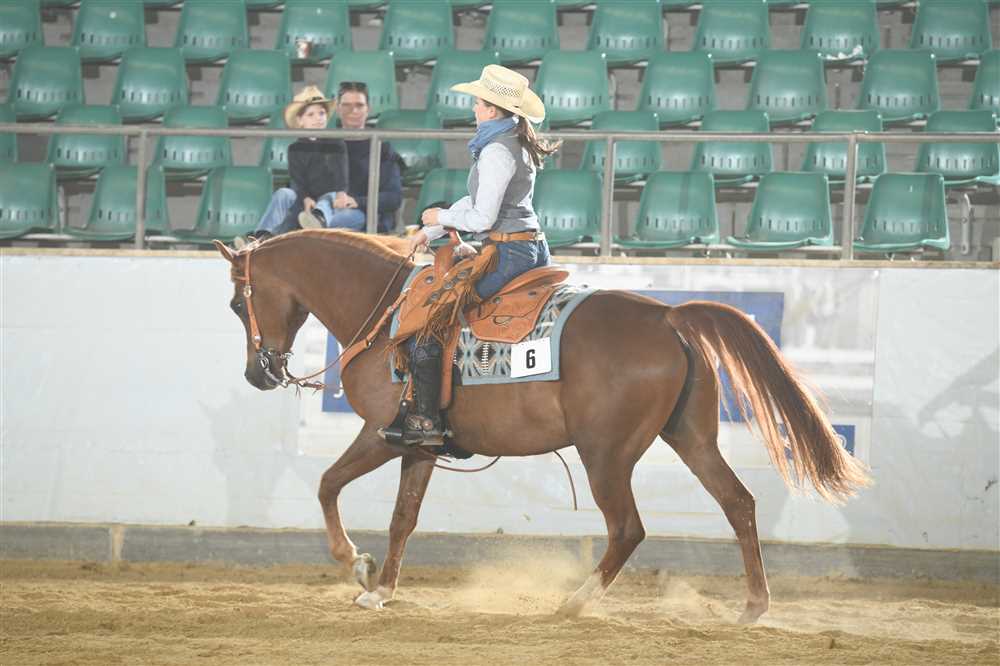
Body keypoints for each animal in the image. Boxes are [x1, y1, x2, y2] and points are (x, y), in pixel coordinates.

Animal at [213, 229, 870, 623]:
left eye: (238, 304)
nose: (255, 374)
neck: (388, 316)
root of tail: (668, 317)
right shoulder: (420, 445)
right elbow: (403, 518)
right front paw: (382, 587)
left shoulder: (379, 433)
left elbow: (327, 484)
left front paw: (353, 561)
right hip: (691, 437)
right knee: (739, 503)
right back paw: (754, 605)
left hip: (606, 454)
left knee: (629, 528)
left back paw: (574, 602)